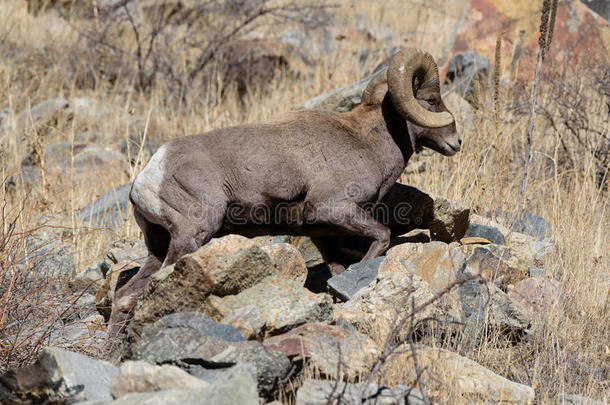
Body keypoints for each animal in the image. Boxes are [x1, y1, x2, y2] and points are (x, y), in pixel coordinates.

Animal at [109, 47, 460, 336]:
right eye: (432, 101)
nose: (456, 142)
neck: (368, 142)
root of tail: (148, 176)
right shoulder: (333, 208)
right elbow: (382, 237)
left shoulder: (324, 235)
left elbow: (337, 270)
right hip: (191, 237)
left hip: (159, 246)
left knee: (126, 296)